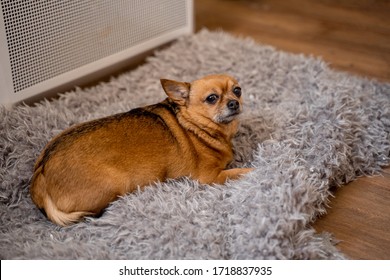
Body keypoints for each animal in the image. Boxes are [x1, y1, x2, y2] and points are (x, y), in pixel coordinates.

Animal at [30, 74, 253, 225]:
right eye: (212, 98)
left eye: (237, 90)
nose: (234, 103)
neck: (198, 127)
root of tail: (40, 175)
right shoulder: (210, 177)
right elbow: (237, 173)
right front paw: (254, 170)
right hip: (115, 183)